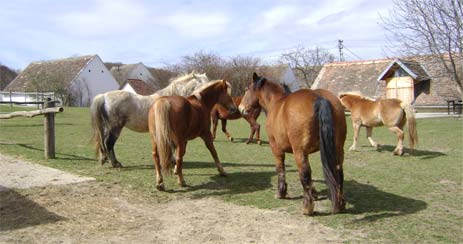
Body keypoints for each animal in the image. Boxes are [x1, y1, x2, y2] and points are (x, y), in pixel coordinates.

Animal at [237, 73, 346, 215]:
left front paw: (281, 192)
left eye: (246, 89)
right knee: (338, 172)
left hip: (299, 152)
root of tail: (318, 97)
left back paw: (307, 208)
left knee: (305, 174)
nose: (241, 108)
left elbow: (280, 169)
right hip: (337, 150)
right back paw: (340, 204)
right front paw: (314, 193)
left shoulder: (276, 148)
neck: (276, 103)